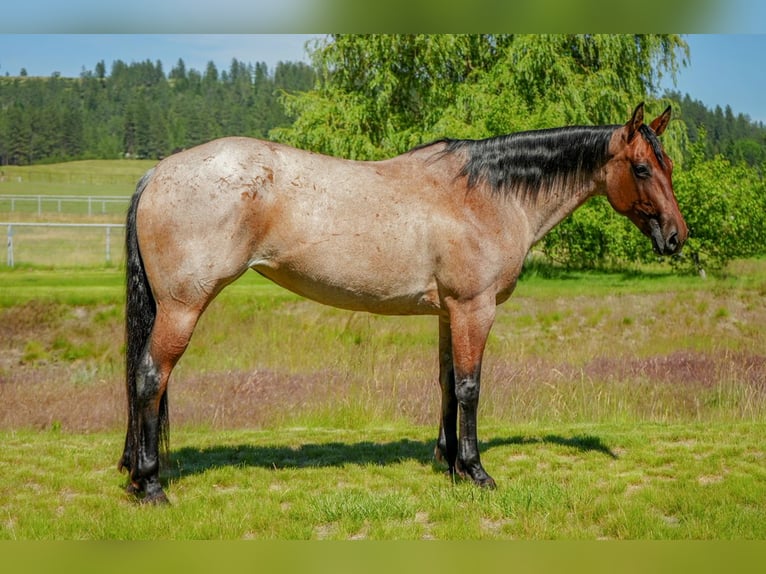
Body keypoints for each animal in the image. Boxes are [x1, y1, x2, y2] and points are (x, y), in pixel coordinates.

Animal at [119, 102, 687, 503]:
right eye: (641, 168)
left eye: (669, 165)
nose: (677, 237)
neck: (487, 196)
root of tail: (157, 174)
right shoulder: (474, 309)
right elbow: (470, 387)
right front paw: (476, 471)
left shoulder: (449, 312)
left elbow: (447, 384)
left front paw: (449, 462)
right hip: (182, 308)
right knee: (150, 376)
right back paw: (150, 485)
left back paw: (132, 472)